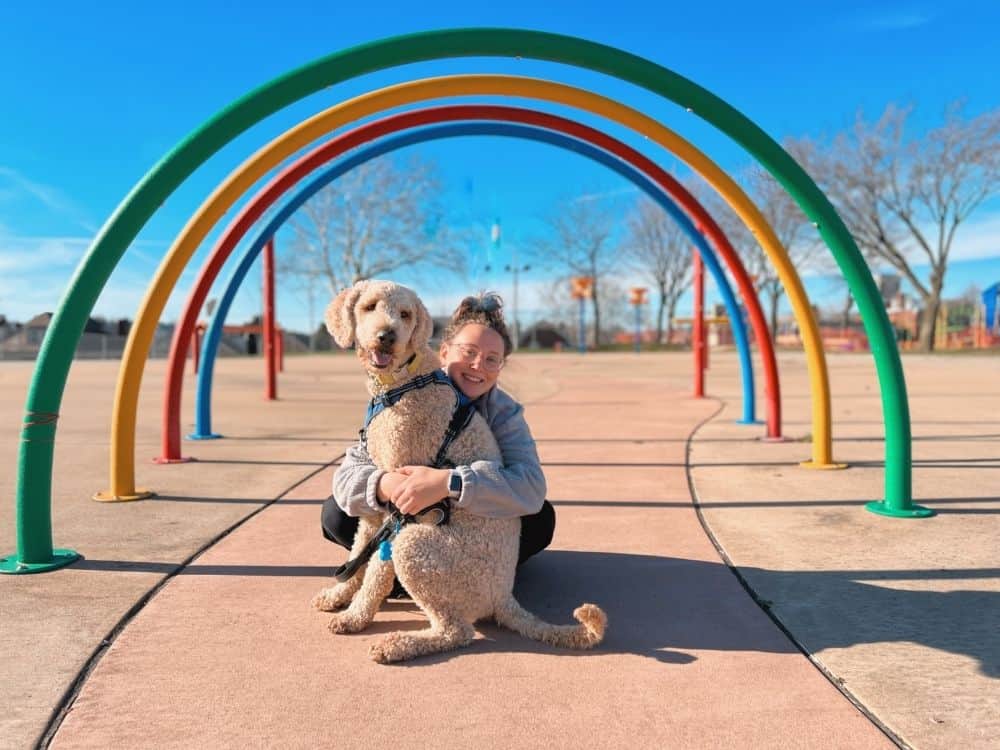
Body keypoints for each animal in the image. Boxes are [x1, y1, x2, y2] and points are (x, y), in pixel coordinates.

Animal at [316, 282, 604, 664]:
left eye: (405, 314)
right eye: (369, 306)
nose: (387, 336)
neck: (405, 381)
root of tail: (503, 596)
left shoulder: (399, 503)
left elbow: (375, 571)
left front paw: (355, 616)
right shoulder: (379, 493)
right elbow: (358, 554)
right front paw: (338, 596)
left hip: (415, 546)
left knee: (456, 631)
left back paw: (398, 644)